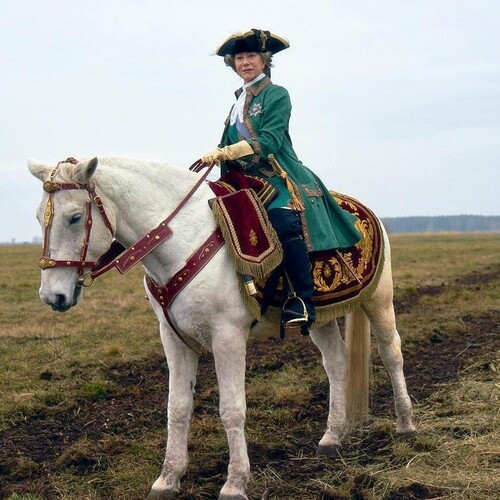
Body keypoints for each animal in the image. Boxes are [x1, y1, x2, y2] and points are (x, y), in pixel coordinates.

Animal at [28, 156, 416, 500]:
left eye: (75, 217)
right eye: (38, 217)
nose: (52, 295)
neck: (181, 239)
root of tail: (365, 210)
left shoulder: (227, 337)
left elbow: (232, 408)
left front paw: (235, 483)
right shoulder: (173, 338)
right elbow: (177, 407)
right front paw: (167, 479)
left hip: (379, 301)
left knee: (391, 354)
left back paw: (406, 426)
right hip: (319, 318)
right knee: (336, 363)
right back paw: (332, 438)